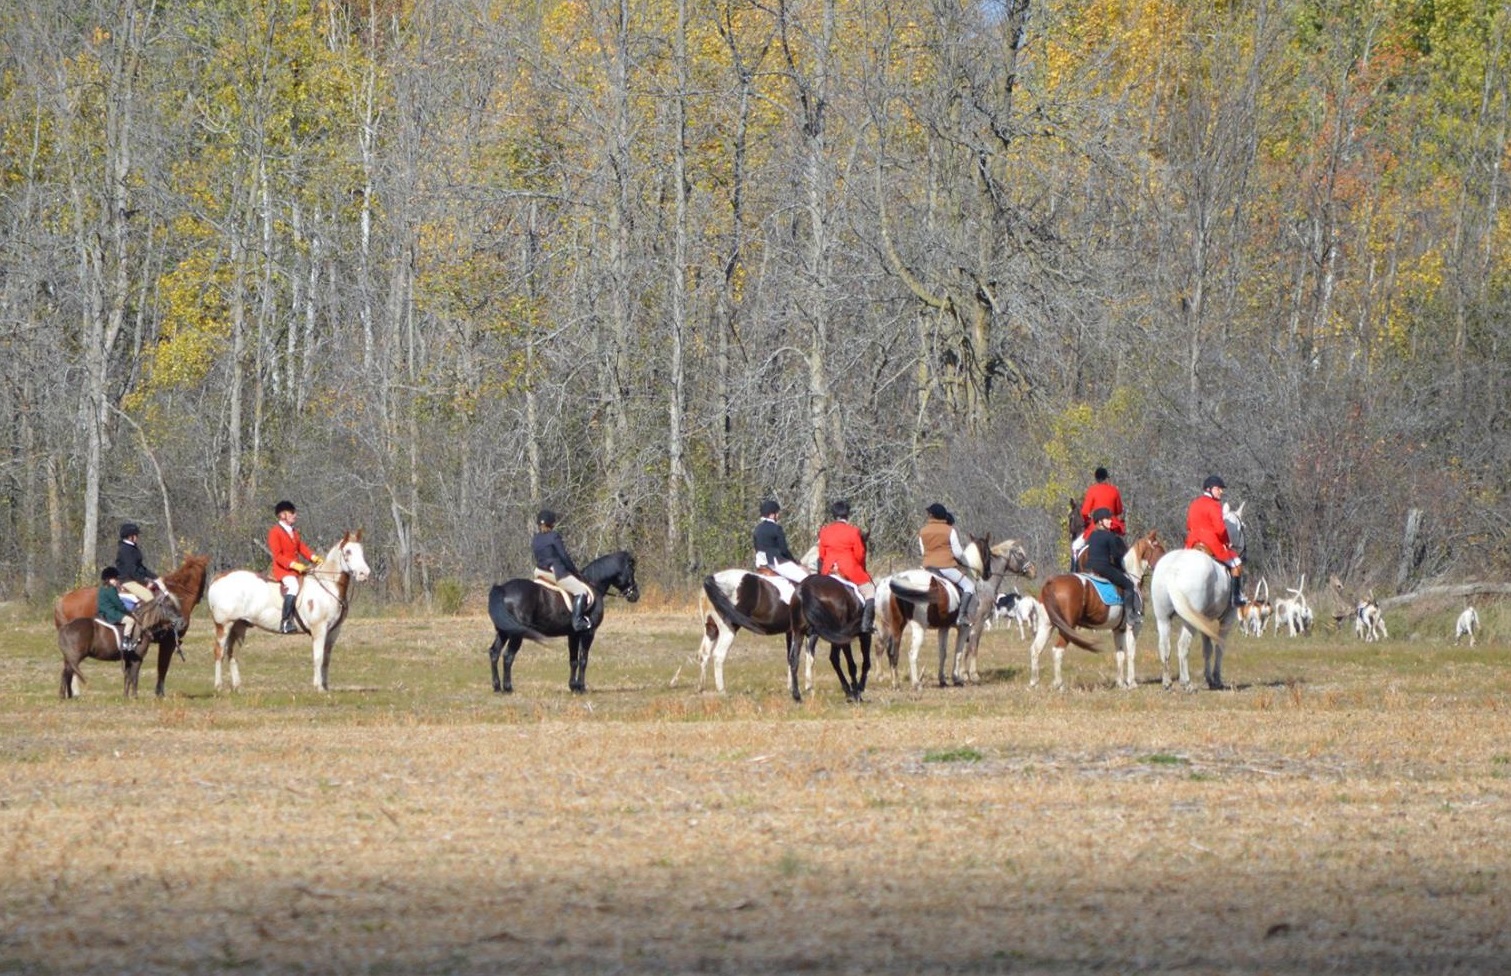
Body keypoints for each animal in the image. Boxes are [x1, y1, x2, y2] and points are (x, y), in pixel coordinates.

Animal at [52, 554, 211, 697]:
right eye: (204, 573)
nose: (202, 596)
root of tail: (62, 599)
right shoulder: (169, 642)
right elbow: (162, 667)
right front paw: (159, 693)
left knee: (68, 668)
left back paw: (69, 694)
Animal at [206, 531, 371, 693]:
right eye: (348, 551)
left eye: (361, 550)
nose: (364, 573)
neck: (327, 585)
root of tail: (218, 578)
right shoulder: (319, 629)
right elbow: (318, 658)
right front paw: (318, 687)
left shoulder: (333, 631)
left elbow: (326, 659)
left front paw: (325, 687)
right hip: (224, 624)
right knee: (219, 652)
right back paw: (218, 687)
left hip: (239, 625)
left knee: (233, 654)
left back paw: (237, 688)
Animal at [487, 551, 640, 694]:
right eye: (631, 570)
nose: (636, 595)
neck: (593, 585)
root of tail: (502, 588)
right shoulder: (589, 632)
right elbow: (583, 660)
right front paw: (582, 687)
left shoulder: (573, 634)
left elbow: (573, 660)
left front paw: (573, 687)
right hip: (516, 634)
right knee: (508, 656)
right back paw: (508, 688)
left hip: (504, 631)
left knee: (494, 653)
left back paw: (497, 687)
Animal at [787, 574, 870, 703]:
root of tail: (804, 588)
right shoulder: (862, 635)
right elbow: (863, 663)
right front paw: (857, 690)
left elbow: (834, 659)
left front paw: (849, 690)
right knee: (851, 664)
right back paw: (856, 693)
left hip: (799, 632)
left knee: (794, 659)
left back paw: (797, 696)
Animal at [1028, 530, 1166, 690]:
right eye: (1160, 548)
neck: (1132, 579)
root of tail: (1050, 582)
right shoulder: (1133, 627)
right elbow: (1131, 654)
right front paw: (1131, 683)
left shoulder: (1119, 630)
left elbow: (1120, 655)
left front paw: (1121, 683)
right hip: (1066, 627)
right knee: (1057, 651)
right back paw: (1059, 684)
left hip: (1047, 625)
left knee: (1036, 650)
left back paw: (1034, 683)